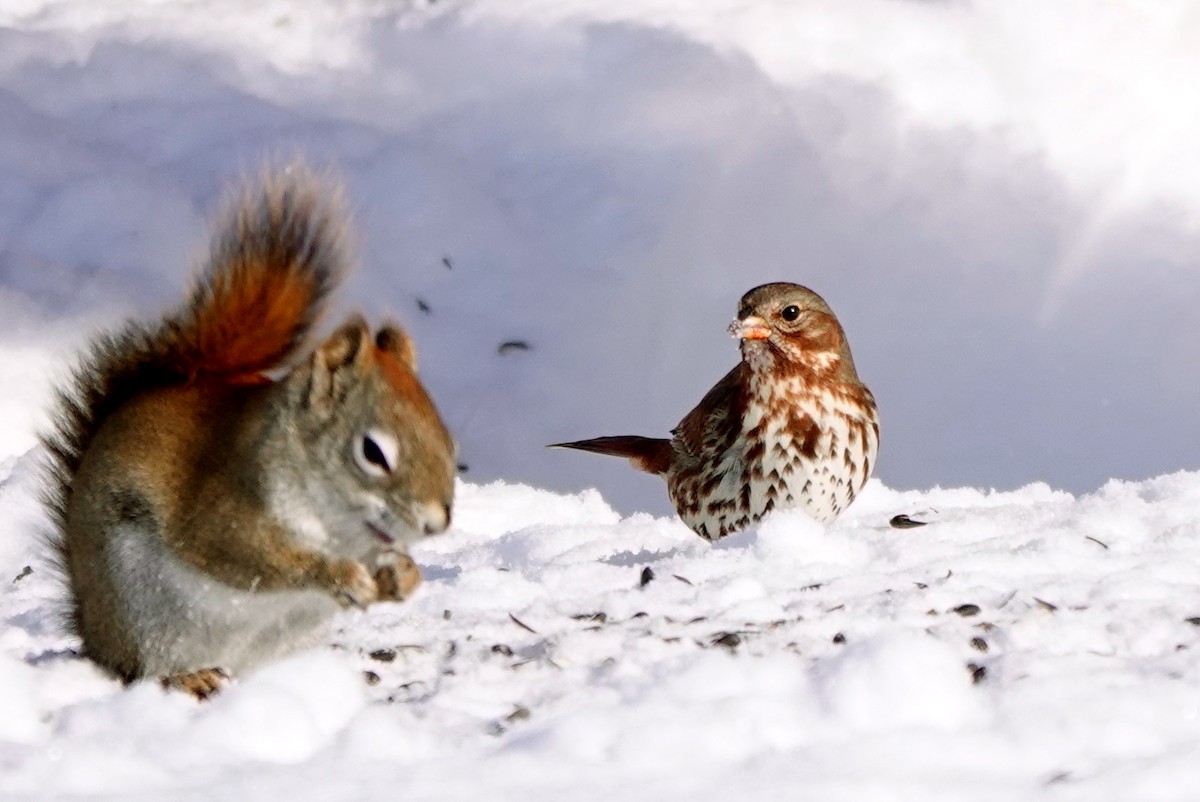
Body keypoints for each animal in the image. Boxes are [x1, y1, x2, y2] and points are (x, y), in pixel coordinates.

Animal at [39, 165, 457, 699]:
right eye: (373, 452)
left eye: (447, 440)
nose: (436, 522)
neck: (342, 525)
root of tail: (93, 630)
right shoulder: (224, 511)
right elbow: (253, 556)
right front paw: (339, 574)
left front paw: (404, 575)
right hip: (138, 610)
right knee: (141, 668)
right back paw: (188, 677)